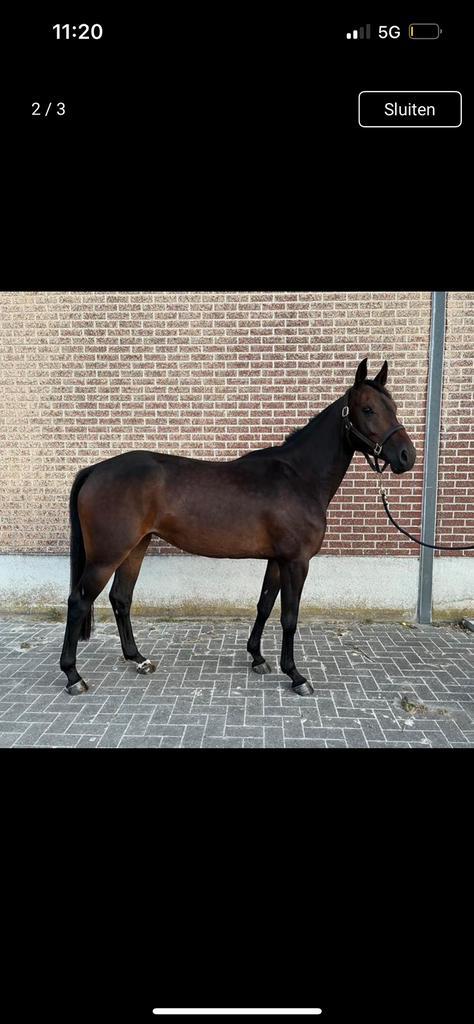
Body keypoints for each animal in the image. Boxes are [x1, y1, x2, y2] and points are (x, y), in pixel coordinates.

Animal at [60, 357, 416, 696]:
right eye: (368, 409)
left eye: (394, 407)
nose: (406, 456)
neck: (299, 477)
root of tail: (95, 470)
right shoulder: (296, 562)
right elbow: (289, 617)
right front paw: (296, 675)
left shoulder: (277, 560)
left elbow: (264, 605)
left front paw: (257, 658)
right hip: (107, 556)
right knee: (78, 602)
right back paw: (73, 676)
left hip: (136, 547)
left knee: (121, 598)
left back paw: (138, 659)